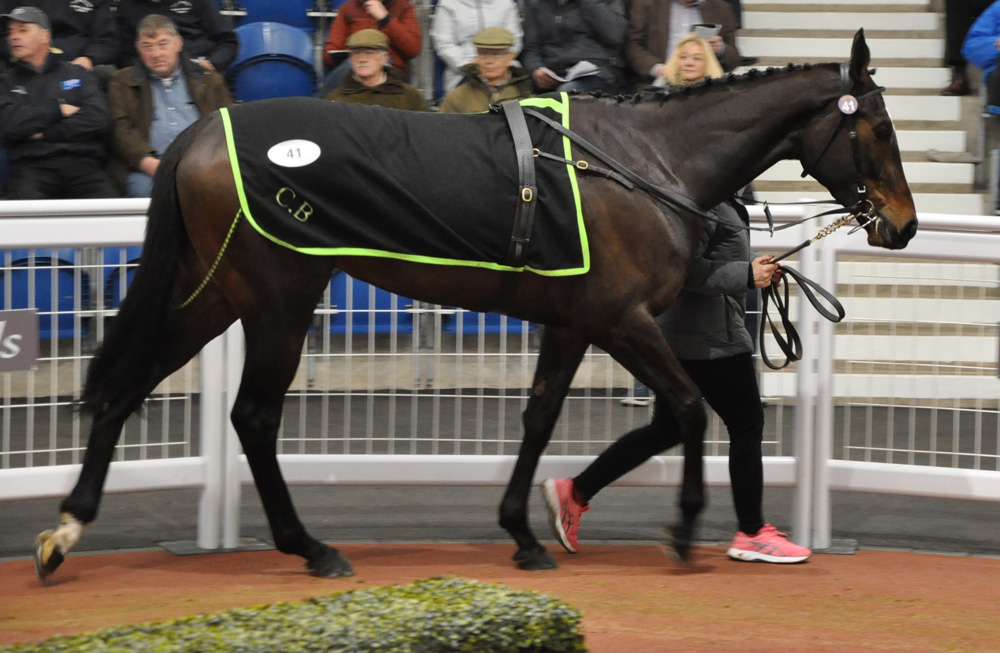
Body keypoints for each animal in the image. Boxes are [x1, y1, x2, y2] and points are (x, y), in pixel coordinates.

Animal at [37, 33, 916, 580]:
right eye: (877, 127)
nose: (902, 225)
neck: (643, 164)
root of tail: (196, 135)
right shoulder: (622, 319)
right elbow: (691, 407)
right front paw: (680, 529)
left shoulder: (572, 322)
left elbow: (539, 418)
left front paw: (525, 531)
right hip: (280, 298)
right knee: (251, 416)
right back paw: (311, 547)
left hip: (217, 291)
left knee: (129, 384)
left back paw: (67, 528)